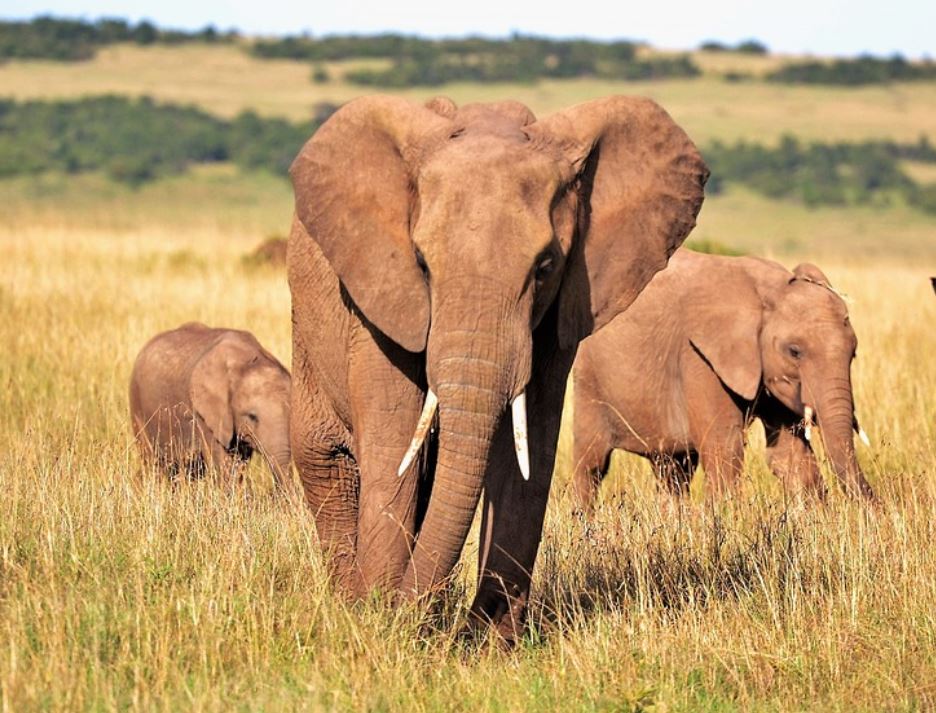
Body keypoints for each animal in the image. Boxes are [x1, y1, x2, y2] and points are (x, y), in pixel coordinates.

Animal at [129, 322, 292, 489]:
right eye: (252, 417)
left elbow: (239, 463)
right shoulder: (204, 415)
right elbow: (223, 462)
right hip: (137, 405)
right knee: (153, 462)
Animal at [286, 93, 708, 642]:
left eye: (545, 266)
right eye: (421, 263)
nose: (405, 613)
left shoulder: (559, 314)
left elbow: (529, 452)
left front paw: (488, 642)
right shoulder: (379, 298)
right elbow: (395, 442)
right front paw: (379, 621)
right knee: (328, 461)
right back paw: (350, 604)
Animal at [571, 249, 876, 509]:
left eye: (853, 353)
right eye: (794, 351)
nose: (875, 507)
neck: (769, 290)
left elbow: (790, 455)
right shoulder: (699, 356)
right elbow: (725, 449)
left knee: (674, 469)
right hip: (589, 377)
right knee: (592, 464)